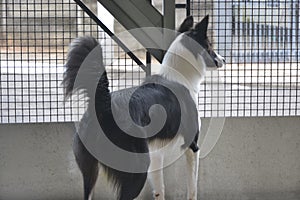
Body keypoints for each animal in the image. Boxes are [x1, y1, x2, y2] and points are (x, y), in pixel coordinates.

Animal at [63, 14, 225, 199]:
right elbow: (192, 188)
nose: (224, 59)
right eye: (210, 46)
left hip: (91, 171)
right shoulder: (192, 147)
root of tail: (103, 105)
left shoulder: (156, 154)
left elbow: (159, 190)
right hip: (137, 168)